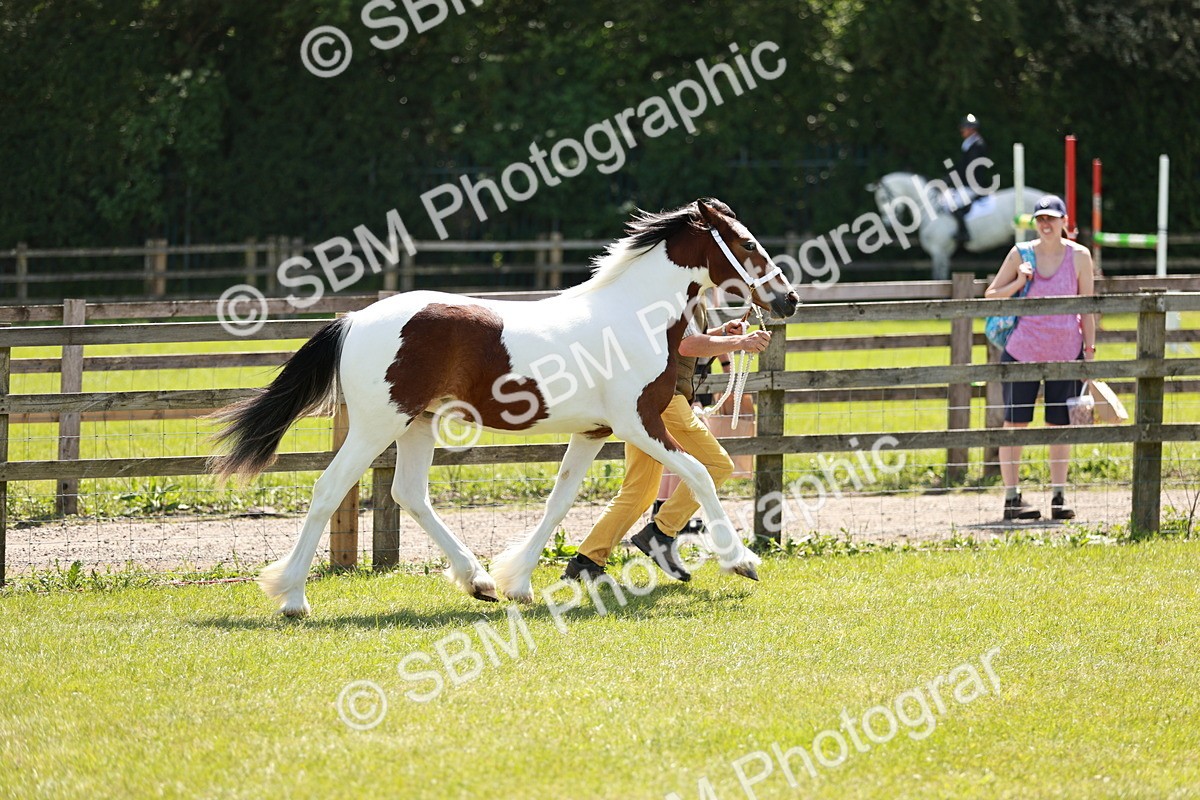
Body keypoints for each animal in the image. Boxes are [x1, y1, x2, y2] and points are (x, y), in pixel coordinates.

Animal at [211, 198, 799, 616]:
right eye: (747, 242)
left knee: (408, 493)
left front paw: (518, 582)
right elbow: (700, 472)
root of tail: (353, 320)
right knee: (329, 489)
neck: (635, 317)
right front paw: (742, 562)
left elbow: (559, 502)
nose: (789, 299)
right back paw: (292, 598)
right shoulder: (640, 423)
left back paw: (480, 582)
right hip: (377, 425)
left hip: (418, 424)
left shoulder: (594, 431)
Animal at [869, 172, 1048, 279]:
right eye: (878, 200)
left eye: (883, 198)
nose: (887, 223)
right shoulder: (944, 252)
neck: (931, 208)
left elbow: (938, 277)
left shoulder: (939, 250)